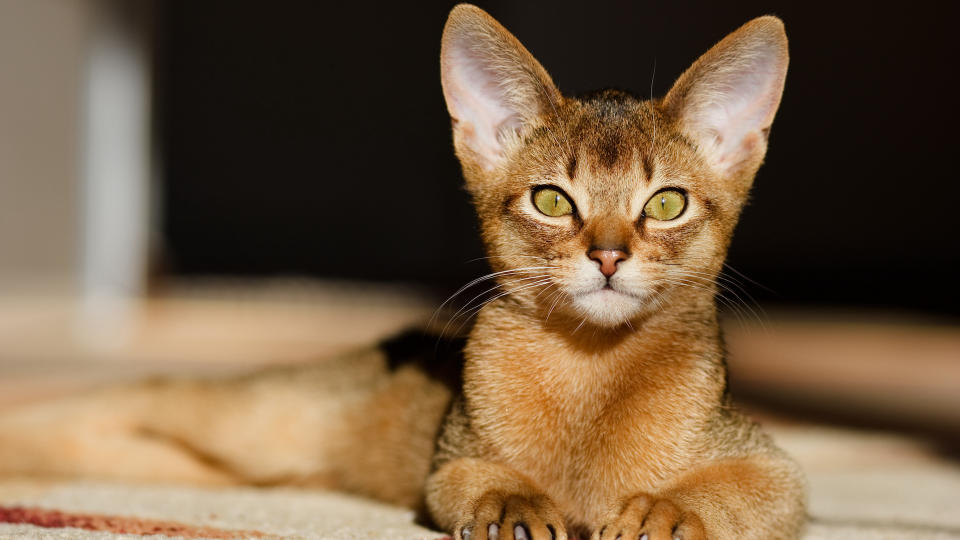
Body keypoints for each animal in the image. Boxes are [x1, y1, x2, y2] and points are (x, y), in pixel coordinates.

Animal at [0, 5, 808, 540]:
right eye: (552, 199)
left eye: (667, 203)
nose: (608, 255)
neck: (593, 376)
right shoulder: (449, 463)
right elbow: (479, 480)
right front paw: (515, 505)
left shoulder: (776, 471)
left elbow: (740, 493)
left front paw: (664, 511)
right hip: (254, 419)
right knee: (124, 395)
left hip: (220, 462)